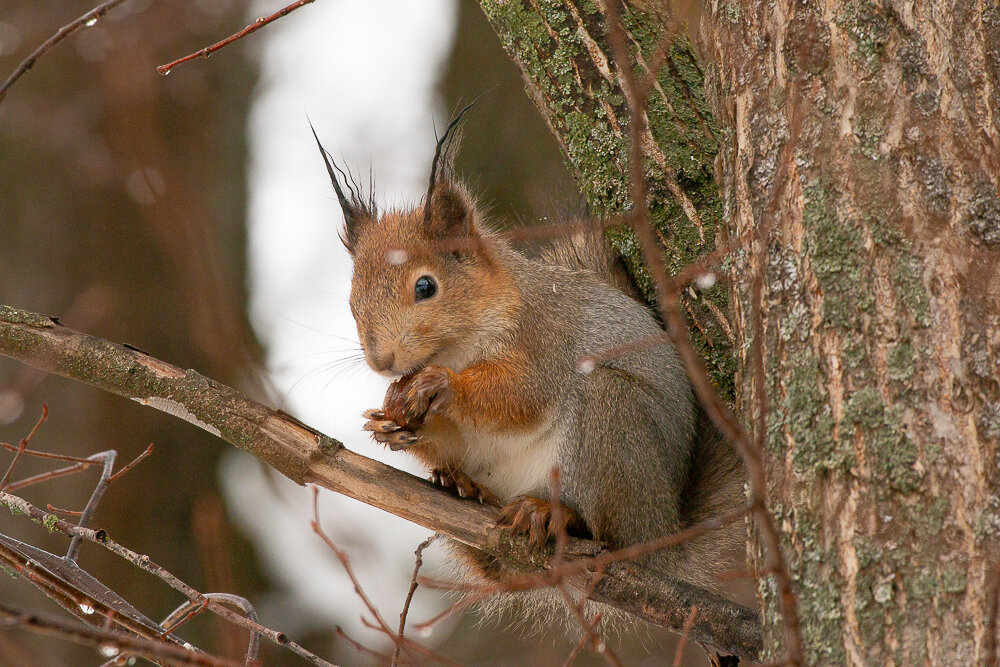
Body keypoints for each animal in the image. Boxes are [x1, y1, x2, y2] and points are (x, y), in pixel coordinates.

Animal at [308, 122, 748, 604]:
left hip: (615, 428)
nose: (382, 360)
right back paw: (464, 486)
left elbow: (521, 394)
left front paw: (443, 385)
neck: (459, 348)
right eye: (353, 299)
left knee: (612, 536)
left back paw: (554, 514)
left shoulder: (545, 340)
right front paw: (388, 423)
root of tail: (667, 529)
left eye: (425, 286)